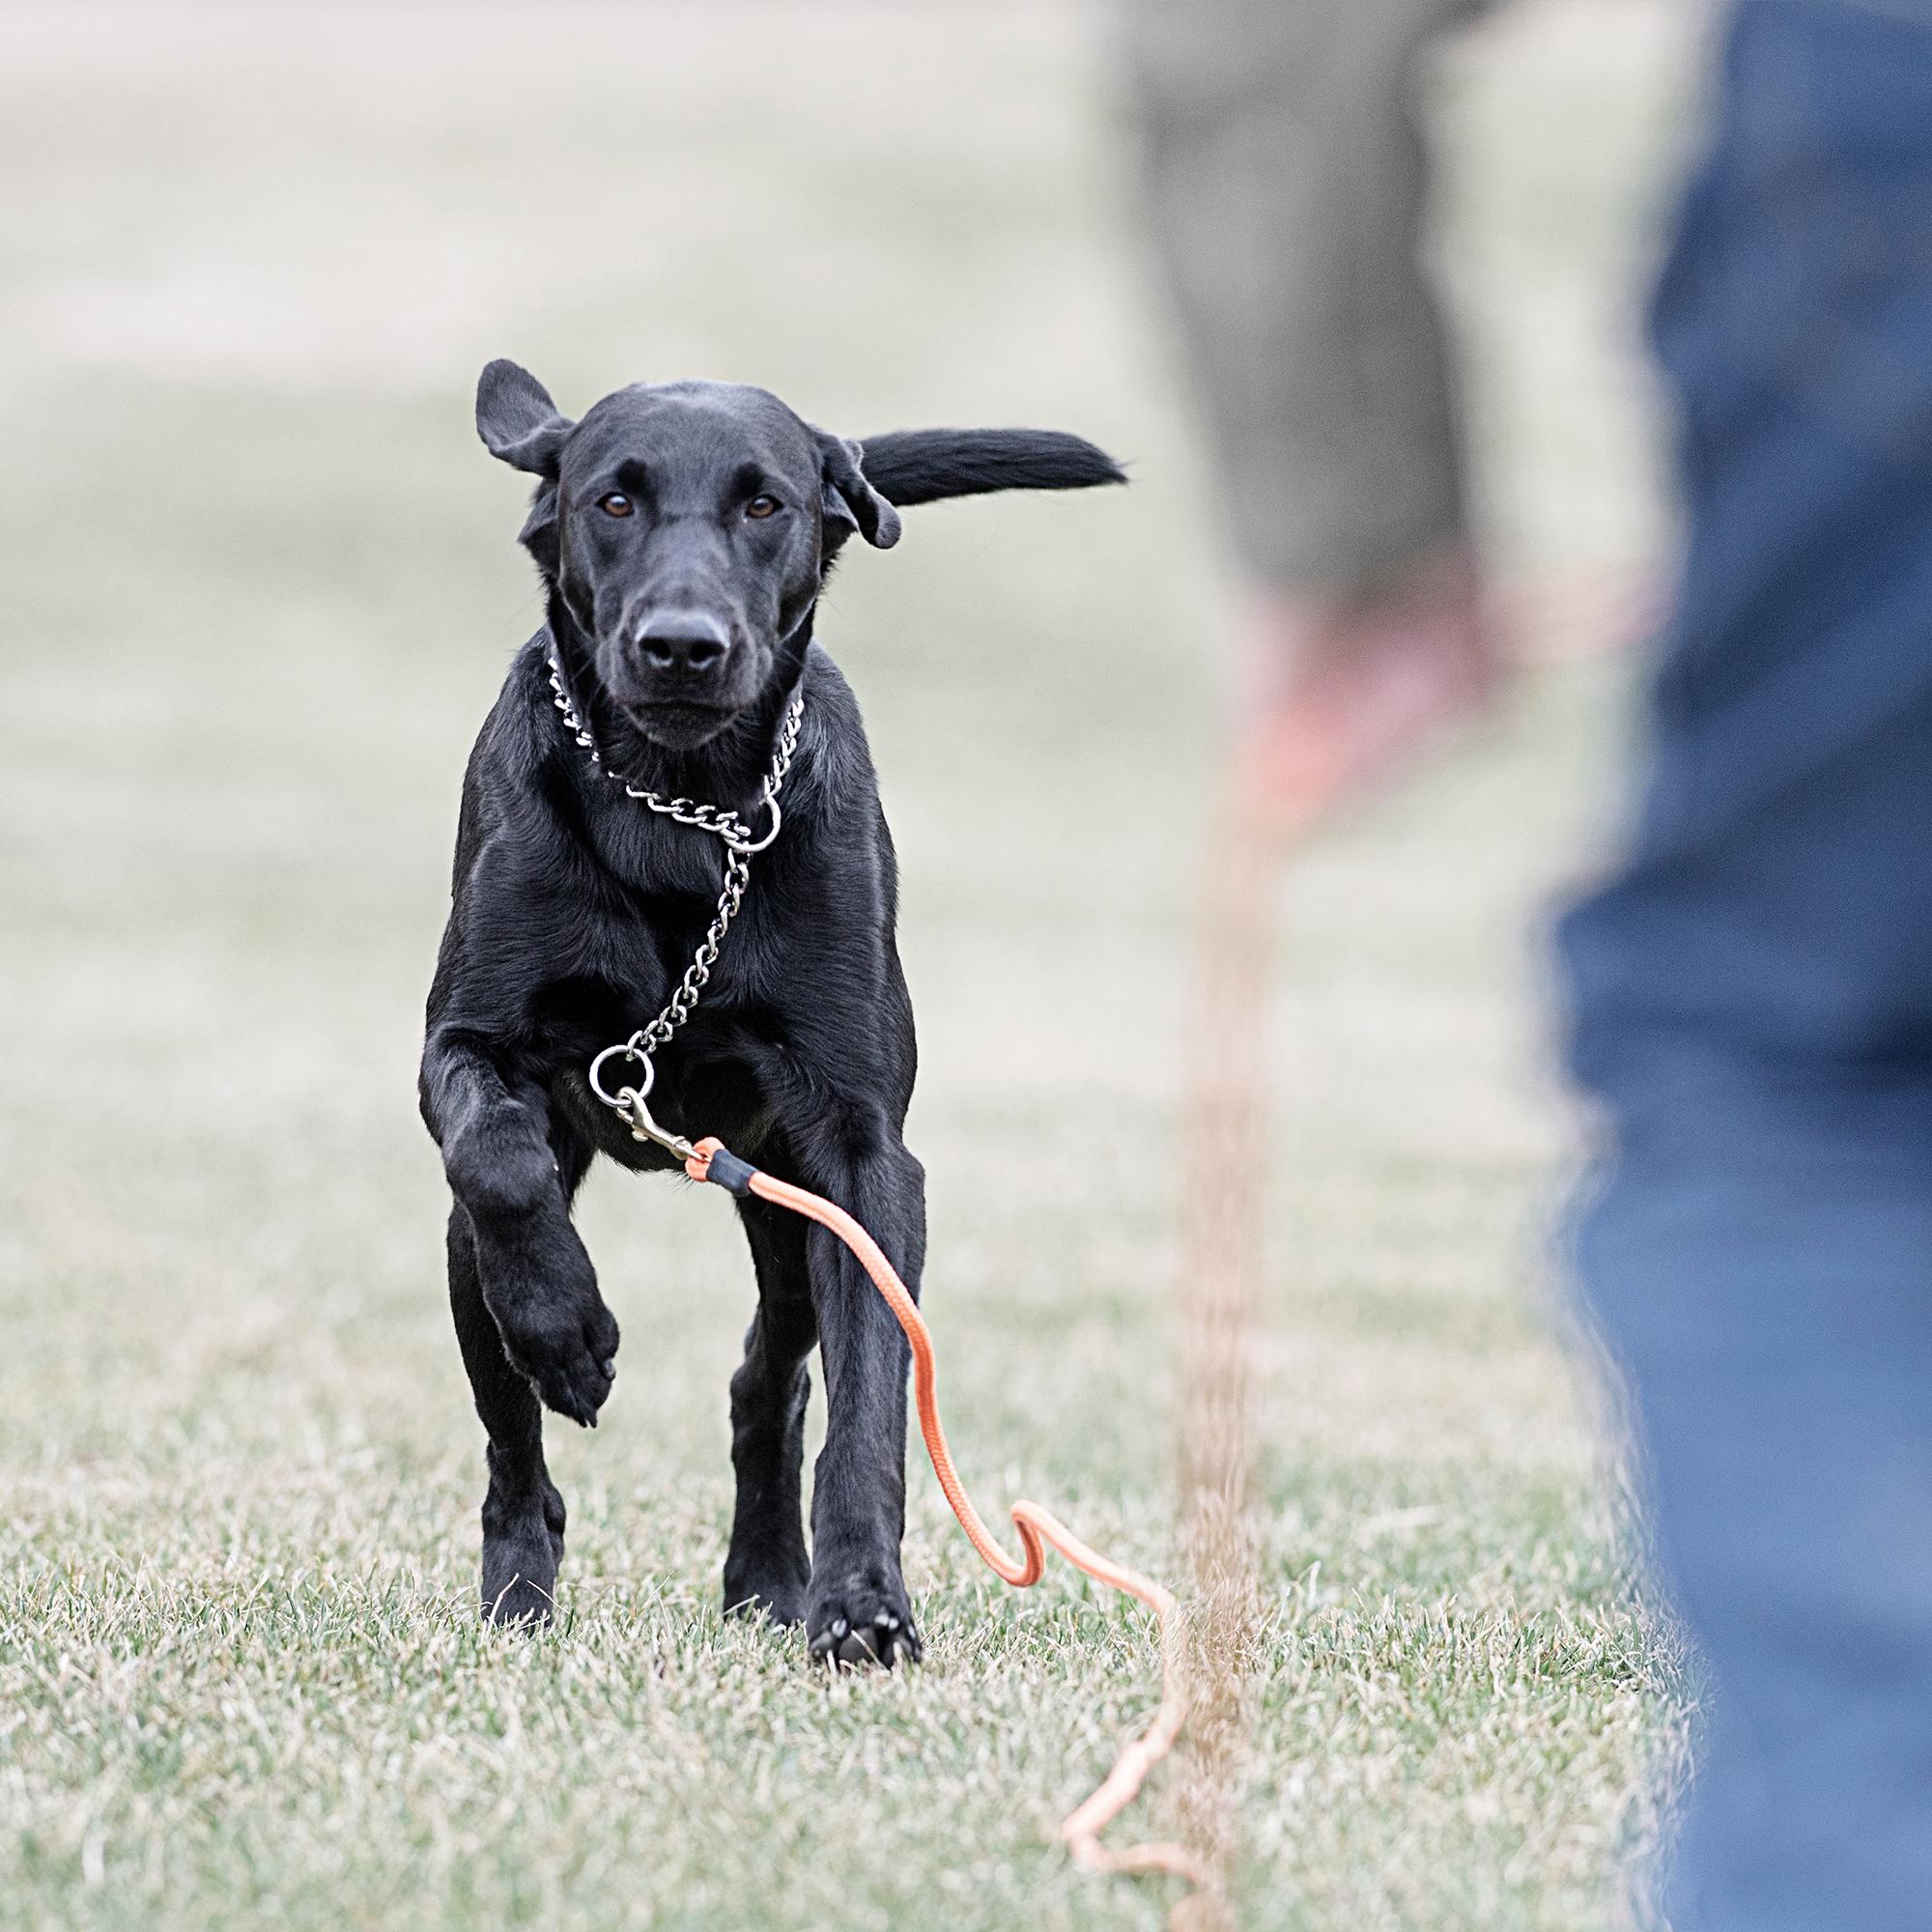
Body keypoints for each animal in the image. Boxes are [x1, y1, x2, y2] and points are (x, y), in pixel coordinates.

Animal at [419, 363, 1121, 1662]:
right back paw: (521, 1584)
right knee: (512, 1434)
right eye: (612, 499)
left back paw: (768, 1577)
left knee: (770, 1380)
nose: (682, 647)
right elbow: (497, 1154)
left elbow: (870, 1408)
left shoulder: (861, 1153)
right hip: (472, 1255)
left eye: (764, 504)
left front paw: (860, 1604)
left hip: (787, 1208)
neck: (682, 811)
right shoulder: (465, 1046)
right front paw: (568, 1328)